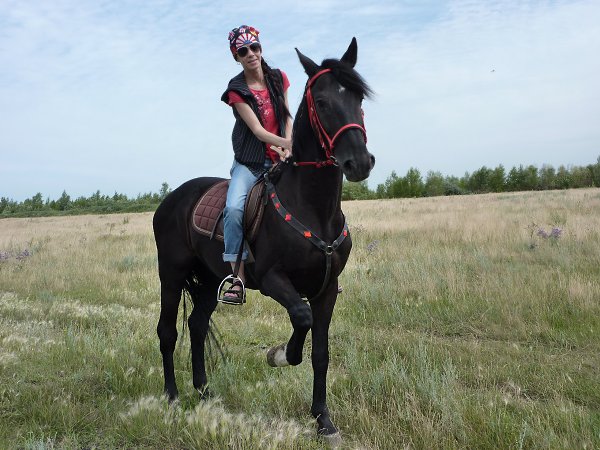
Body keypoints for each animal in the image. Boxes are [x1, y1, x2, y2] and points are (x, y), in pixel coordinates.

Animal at [152, 38, 374, 441]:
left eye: (359, 98)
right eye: (322, 102)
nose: (359, 163)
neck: (313, 208)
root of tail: (172, 199)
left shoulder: (327, 289)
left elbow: (320, 353)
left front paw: (323, 420)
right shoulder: (273, 280)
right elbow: (301, 320)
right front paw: (279, 354)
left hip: (209, 279)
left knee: (197, 325)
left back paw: (204, 391)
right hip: (171, 274)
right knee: (168, 332)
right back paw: (172, 397)